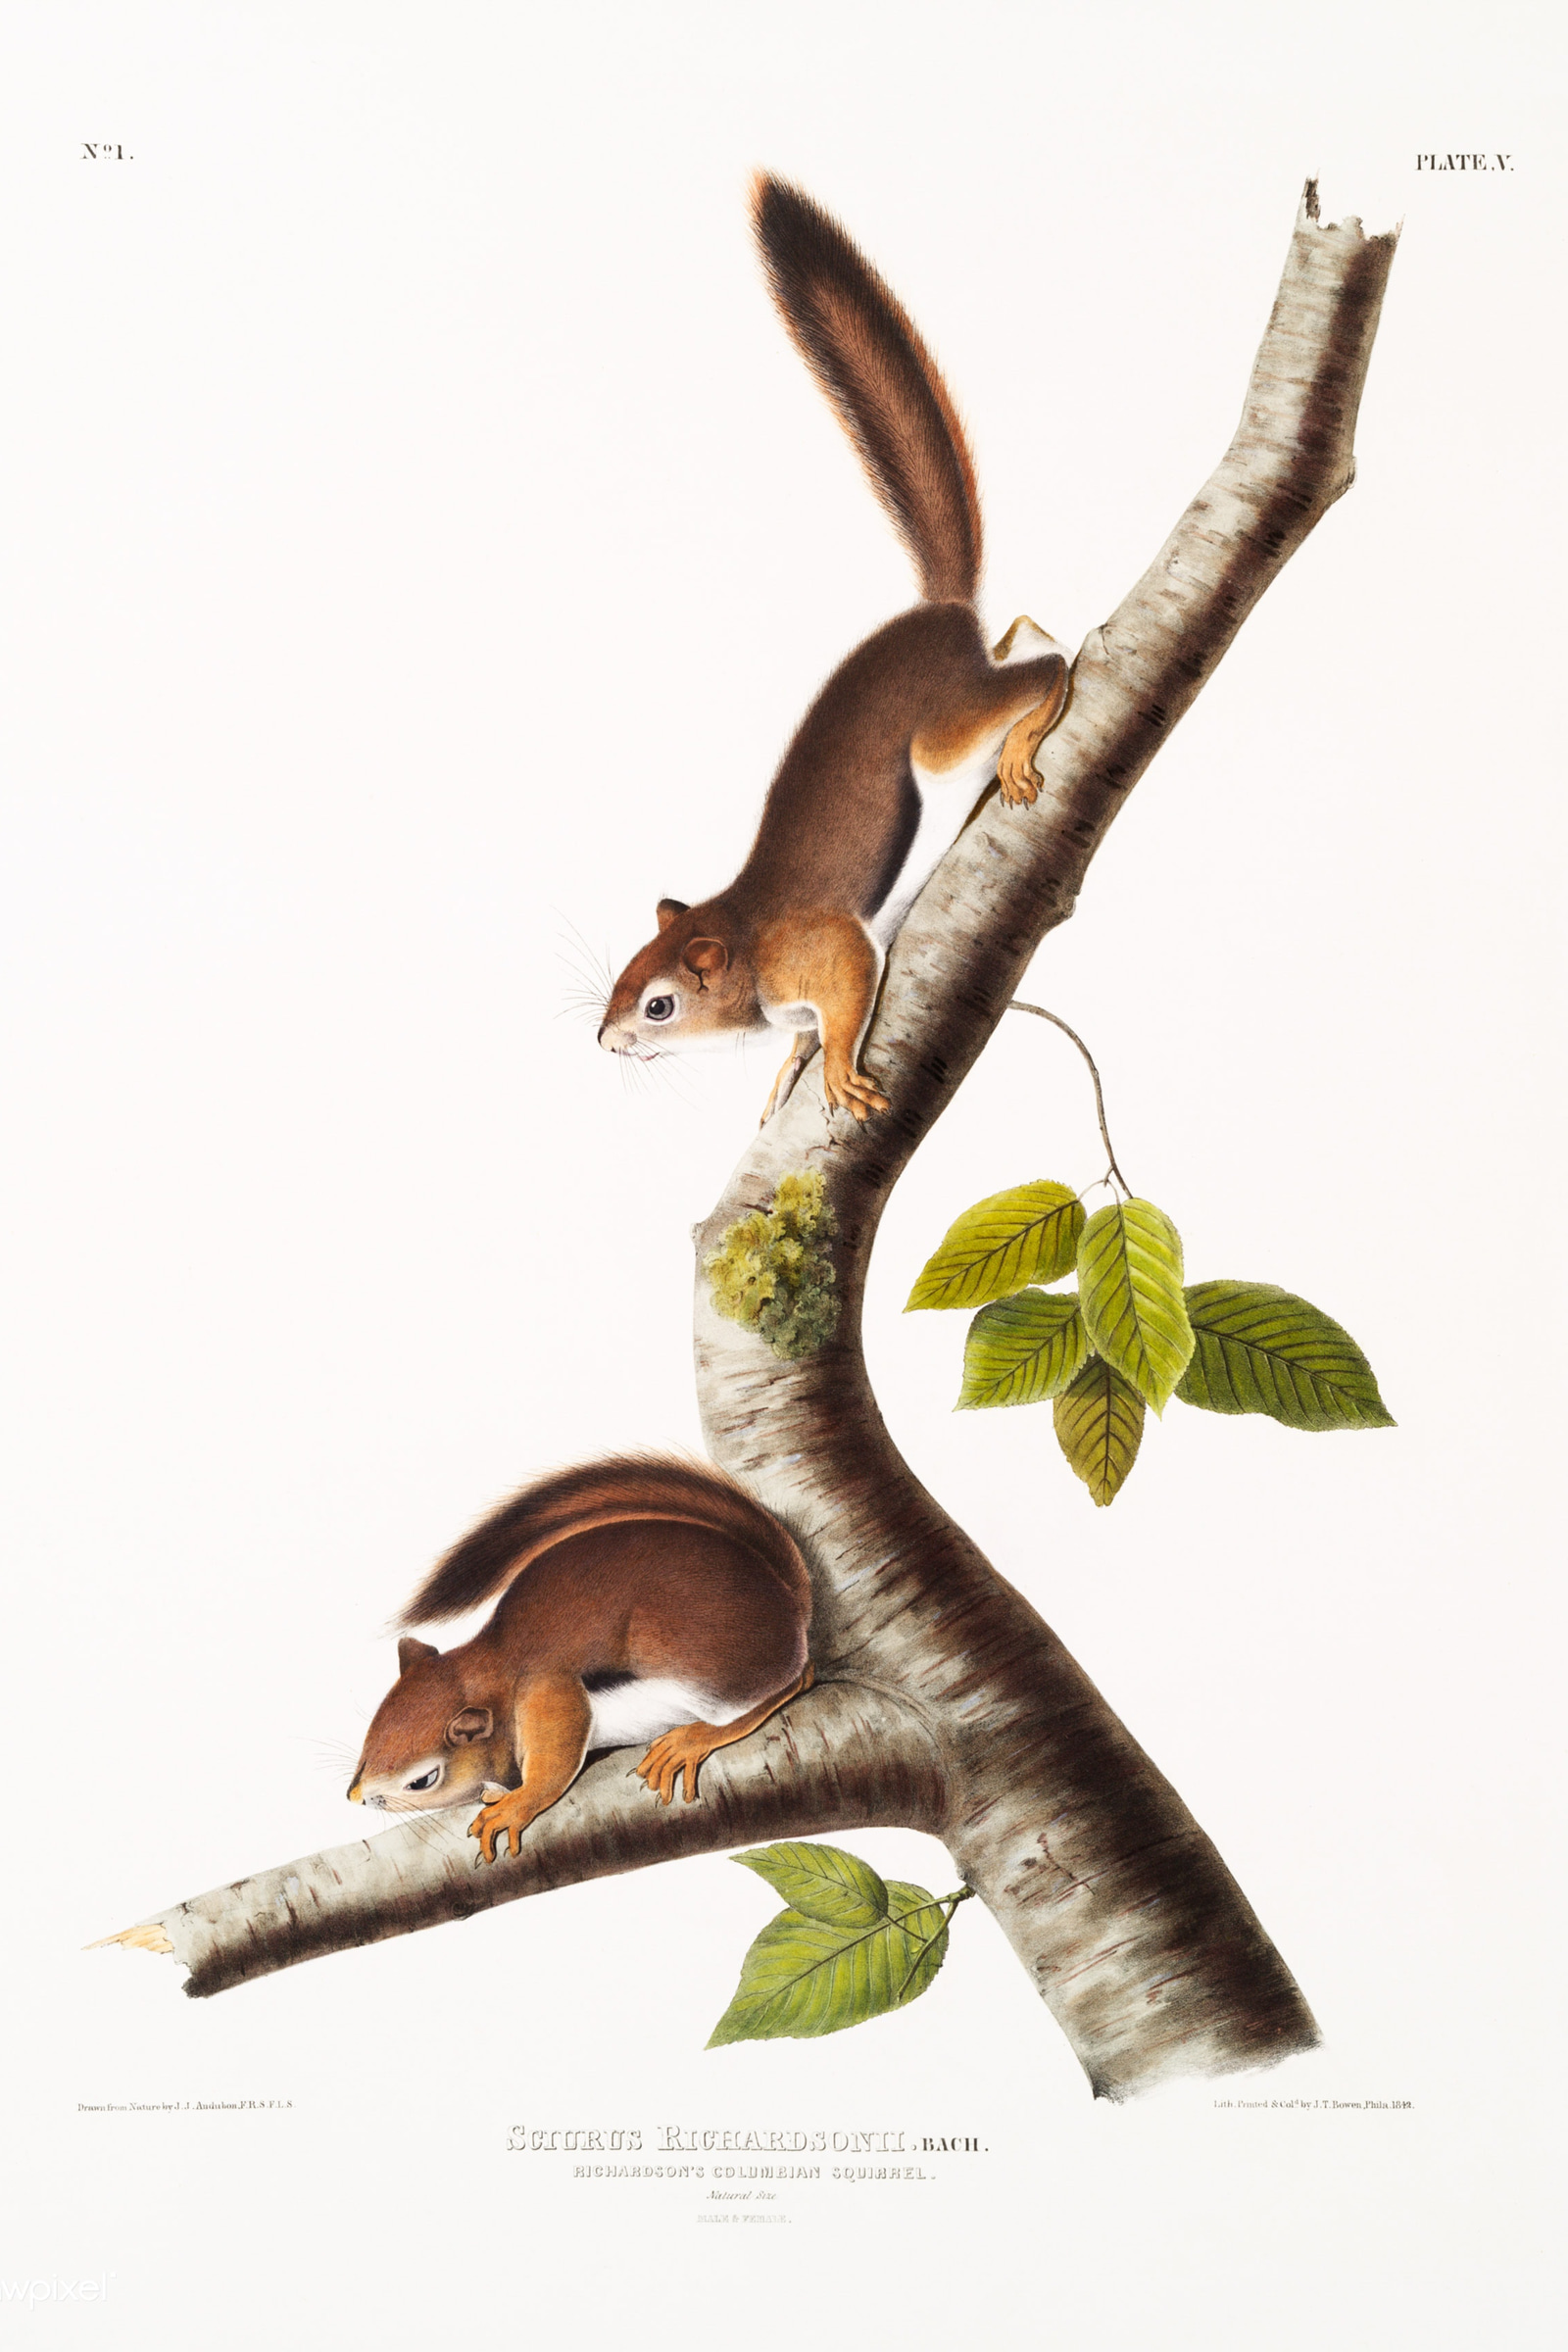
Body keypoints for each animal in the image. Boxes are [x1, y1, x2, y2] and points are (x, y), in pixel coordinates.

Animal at [347, 1456, 813, 1864]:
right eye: (372, 1735)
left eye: (421, 1781)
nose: (355, 1797)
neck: (494, 1671)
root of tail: (790, 1602)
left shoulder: (548, 1692)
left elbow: (553, 1763)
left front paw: (515, 1804)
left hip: (702, 1665)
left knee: (793, 1682)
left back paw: (691, 1740)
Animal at [597, 173, 1071, 1122]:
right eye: (622, 976)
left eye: (658, 1004)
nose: (604, 1039)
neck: (741, 936)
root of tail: (939, 613)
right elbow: (798, 1038)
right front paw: (788, 1067)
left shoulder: (817, 950)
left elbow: (850, 983)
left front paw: (840, 1067)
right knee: (1027, 634)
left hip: (940, 735)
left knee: (1050, 666)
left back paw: (1032, 731)